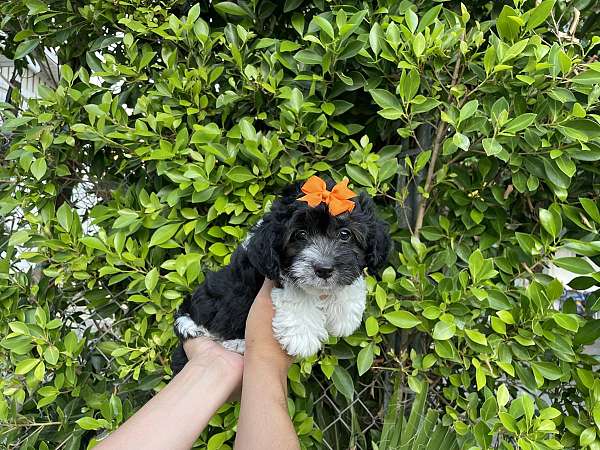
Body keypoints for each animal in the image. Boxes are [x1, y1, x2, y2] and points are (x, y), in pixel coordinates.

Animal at [171, 176, 392, 372]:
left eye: (345, 234)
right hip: (197, 318)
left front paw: (344, 314)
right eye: (300, 234)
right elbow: (297, 291)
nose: (324, 269)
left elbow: (351, 280)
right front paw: (302, 337)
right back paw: (234, 343)